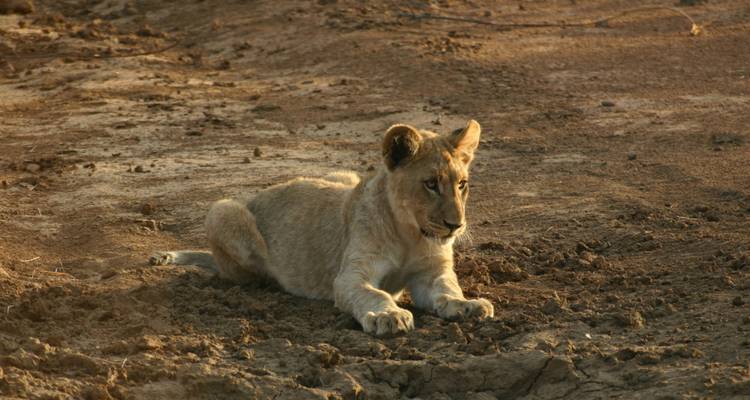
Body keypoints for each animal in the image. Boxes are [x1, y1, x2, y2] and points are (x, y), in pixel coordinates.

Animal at [150, 120, 494, 335]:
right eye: (431, 184)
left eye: (461, 184)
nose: (455, 225)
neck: (411, 235)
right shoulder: (350, 277)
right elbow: (374, 294)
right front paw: (389, 315)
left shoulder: (430, 273)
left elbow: (448, 289)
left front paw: (468, 305)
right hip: (222, 210)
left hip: (343, 175)